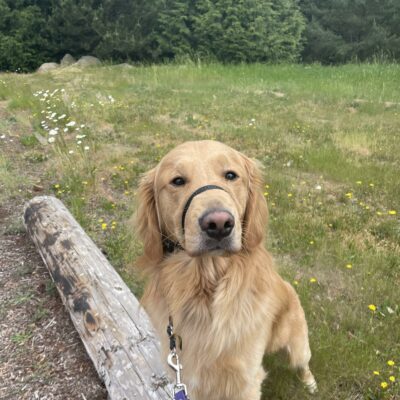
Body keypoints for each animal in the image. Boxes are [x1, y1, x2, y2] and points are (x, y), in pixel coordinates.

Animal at [136, 141, 318, 400]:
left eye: (231, 175)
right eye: (177, 181)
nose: (219, 224)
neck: (205, 292)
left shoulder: (245, 380)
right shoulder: (188, 376)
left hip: (297, 345)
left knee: (303, 364)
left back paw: (310, 383)